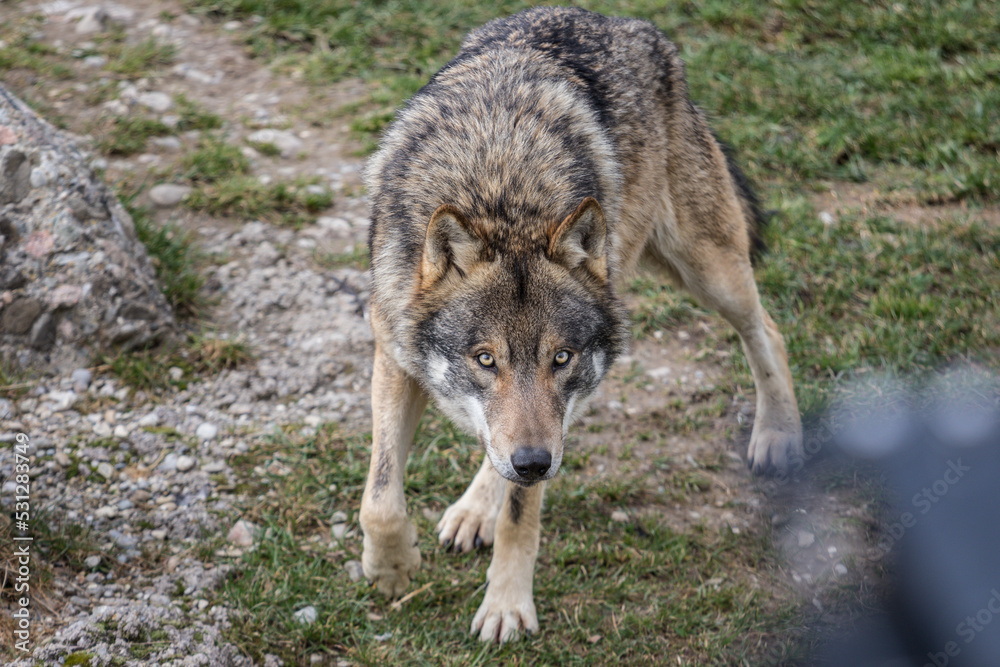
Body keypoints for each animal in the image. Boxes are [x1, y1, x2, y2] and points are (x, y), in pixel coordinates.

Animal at [360, 6, 803, 643]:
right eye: (485, 359)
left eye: (560, 357)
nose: (534, 463)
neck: (502, 190)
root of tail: (629, 23)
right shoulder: (394, 350)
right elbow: (381, 496)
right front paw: (392, 569)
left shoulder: (556, 414)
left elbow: (522, 516)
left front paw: (506, 606)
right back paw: (476, 507)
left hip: (707, 271)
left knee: (767, 330)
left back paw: (778, 436)